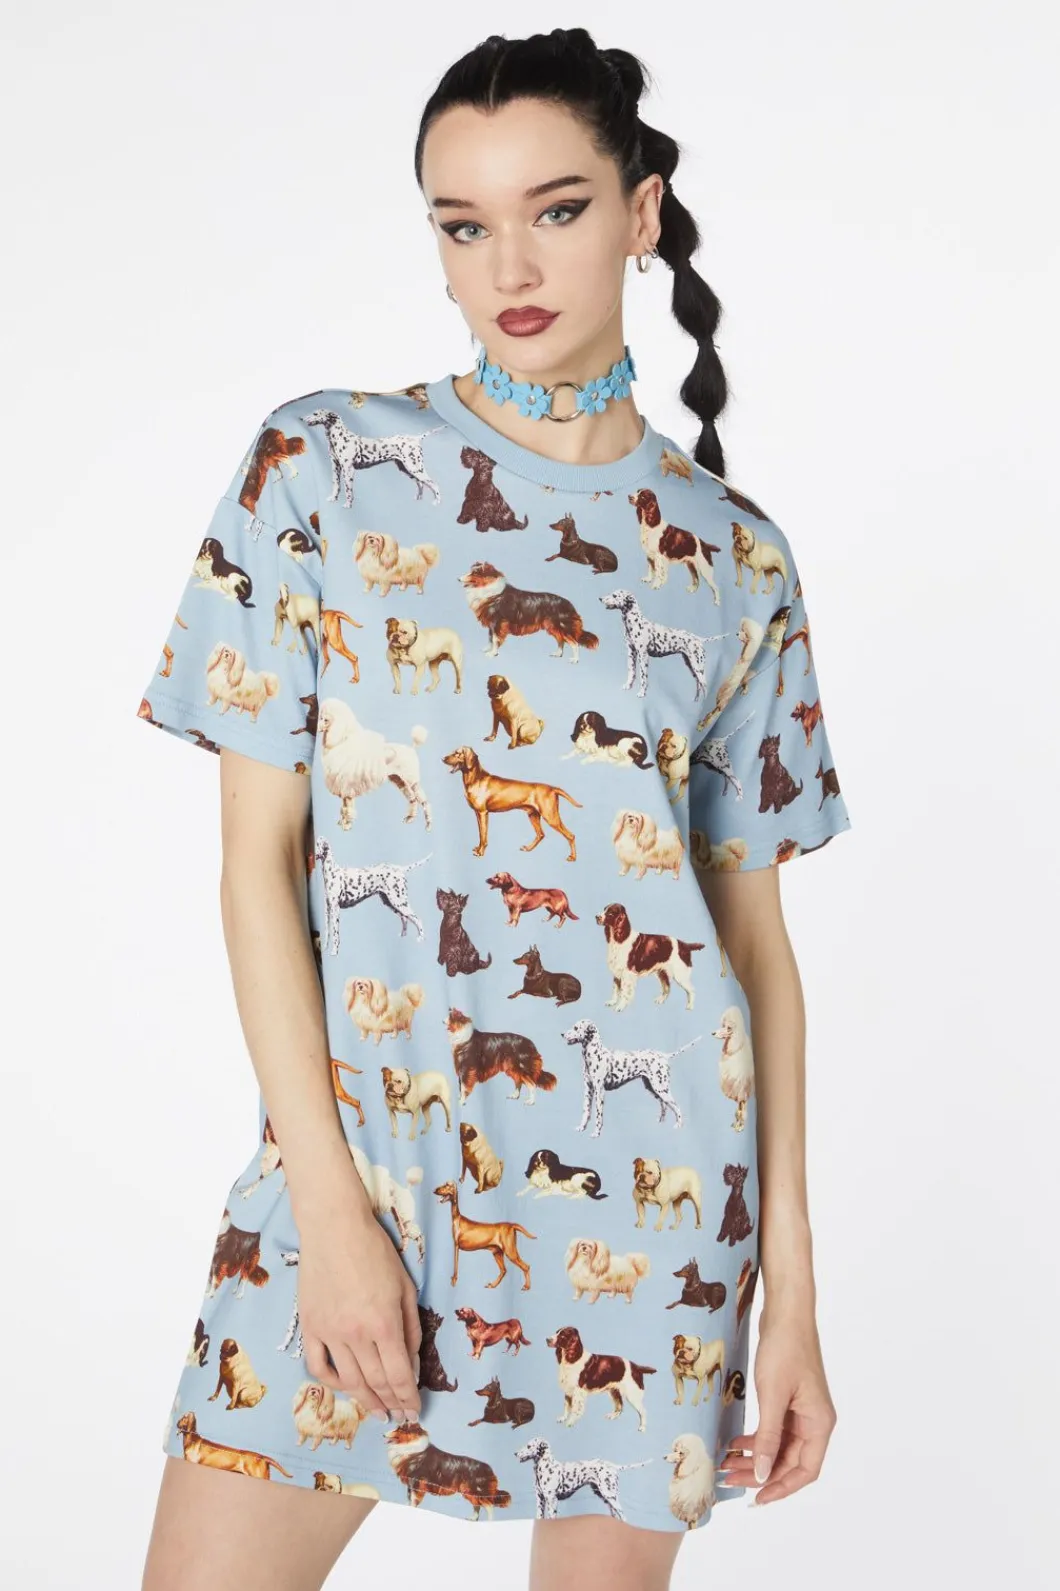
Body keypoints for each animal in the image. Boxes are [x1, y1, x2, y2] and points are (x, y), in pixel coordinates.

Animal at [317, 697, 431, 829]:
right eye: (320, 718)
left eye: (326, 720)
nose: (317, 728)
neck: (341, 741)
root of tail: (411, 748)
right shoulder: (344, 788)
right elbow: (344, 807)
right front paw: (342, 822)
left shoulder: (347, 788)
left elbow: (347, 808)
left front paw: (347, 824)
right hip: (399, 780)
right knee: (412, 799)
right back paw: (410, 818)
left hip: (412, 781)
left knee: (424, 801)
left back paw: (429, 825)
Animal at [443, 744, 582, 861]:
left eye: (457, 753)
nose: (442, 758)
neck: (476, 779)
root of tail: (552, 788)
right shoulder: (477, 813)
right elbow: (480, 834)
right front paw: (478, 848)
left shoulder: (483, 813)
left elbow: (484, 835)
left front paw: (481, 852)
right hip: (533, 815)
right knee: (540, 834)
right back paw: (528, 848)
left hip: (550, 816)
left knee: (570, 835)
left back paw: (573, 857)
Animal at [459, 561, 599, 660]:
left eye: (474, 573)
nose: (458, 579)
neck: (489, 590)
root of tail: (569, 604)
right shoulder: (491, 623)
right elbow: (490, 638)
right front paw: (488, 650)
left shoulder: (498, 622)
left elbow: (495, 639)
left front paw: (492, 653)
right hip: (552, 626)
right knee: (561, 640)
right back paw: (557, 654)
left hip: (561, 625)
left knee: (574, 642)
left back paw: (574, 660)